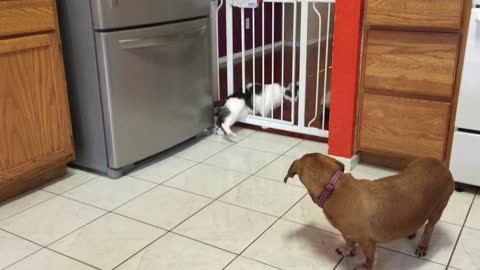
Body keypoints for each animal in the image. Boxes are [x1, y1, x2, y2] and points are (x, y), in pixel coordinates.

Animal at [284, 154, 454, 270]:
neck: (334, 188)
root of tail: (441, 165)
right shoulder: (348, 233)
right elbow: (349, 242)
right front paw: (347, 250)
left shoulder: (367, 242)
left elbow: (369, 259)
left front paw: (365, 267)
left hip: (438, 209)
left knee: (429, 228)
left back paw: (423, 245)